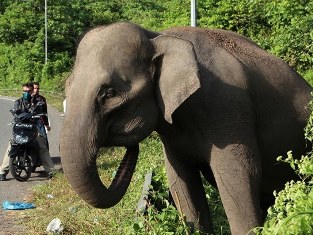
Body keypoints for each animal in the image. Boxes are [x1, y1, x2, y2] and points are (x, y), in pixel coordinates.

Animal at [59, 21, 310, 233]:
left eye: (110, 93)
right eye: (67, 87)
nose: (131, 147)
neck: (157, 37)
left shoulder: (228, 107)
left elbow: (239, 174)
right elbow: (180, 178)